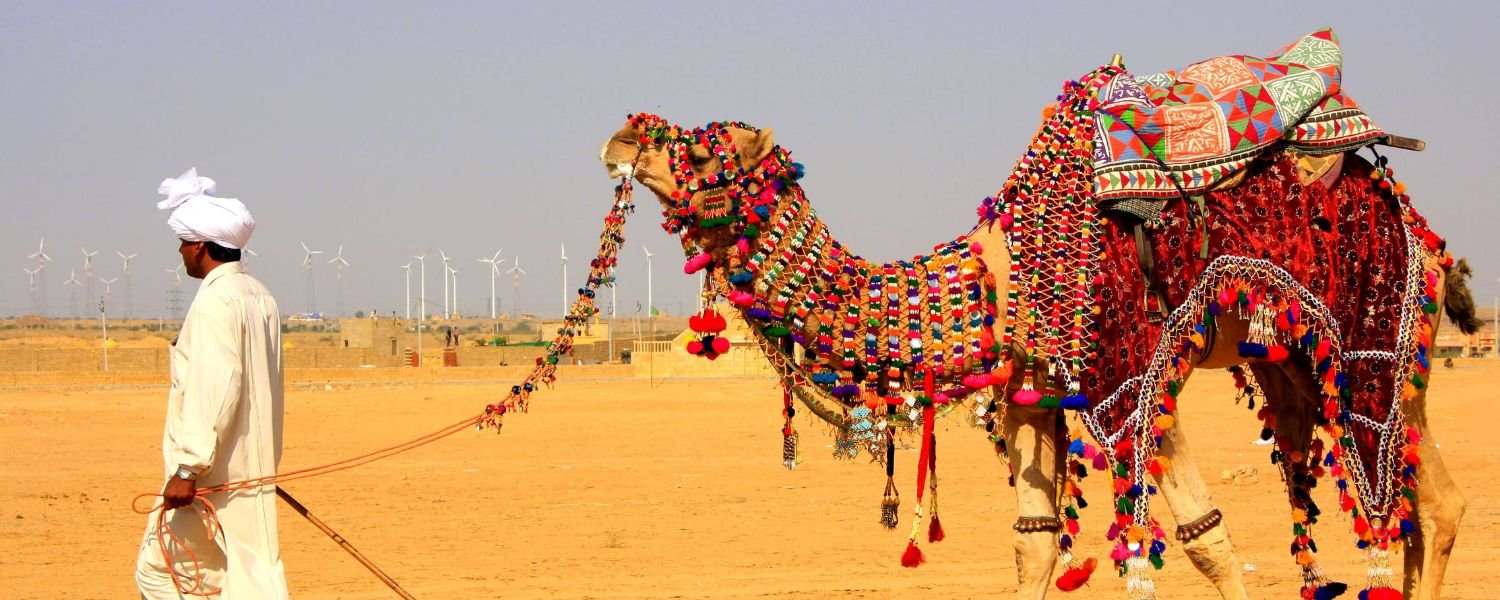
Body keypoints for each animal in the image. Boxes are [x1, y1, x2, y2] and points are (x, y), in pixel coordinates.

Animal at [585, 29, 1476, 600]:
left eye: (705, 147)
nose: (621, 134)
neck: (988, 278)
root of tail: (1422, 230)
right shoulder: (1030, 397)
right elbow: (1034, 546)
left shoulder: (1135, 375)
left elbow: (1210, 544)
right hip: (1295, 360)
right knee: (1400, 505)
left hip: (1381, 343)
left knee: (1434, 504)